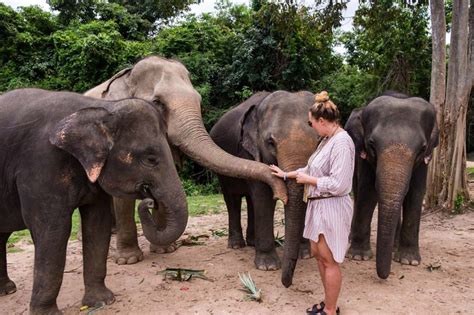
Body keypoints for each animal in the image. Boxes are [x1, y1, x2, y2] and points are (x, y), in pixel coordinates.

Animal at [0, 89, 188, 315]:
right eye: (150, 159)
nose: (151, 201)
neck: (100, 109)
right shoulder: (41, 164)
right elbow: (53, 230)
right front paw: (48, 314)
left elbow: (98, 223)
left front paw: (102, 302)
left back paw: (6, 290)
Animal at [83, 56, 286, 264]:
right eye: (157, 102)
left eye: (199, 101)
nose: (149, 203)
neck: (128, 75)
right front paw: (129, 260)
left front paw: (166, 250)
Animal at [210, 90, 318, 288]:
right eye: (270, 142)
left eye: (318, 141)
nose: (287, 283)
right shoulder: (250, 152)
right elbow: (263, 196)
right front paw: (268, 267)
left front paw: (306, 255)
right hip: (221, 171)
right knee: (233, 199)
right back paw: (237, 245)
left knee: (250, 200)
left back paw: (252, 242)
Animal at [342, 90, 438, 278]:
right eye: (372, 144)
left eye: (422, 148)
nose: (384, 276)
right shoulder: (363, 155)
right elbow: (367, 191)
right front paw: (358, 256)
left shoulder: (424, 161)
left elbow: (415, 193)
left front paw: (409, 261)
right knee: (357, 190)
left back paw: (394, 247)